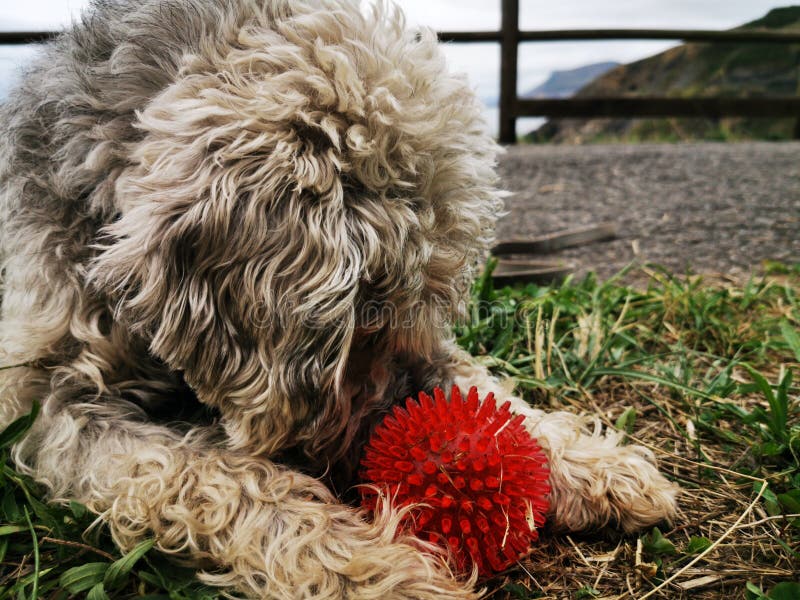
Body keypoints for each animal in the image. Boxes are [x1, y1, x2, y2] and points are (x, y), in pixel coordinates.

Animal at [0, 2, 680, 596]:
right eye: (366, 316)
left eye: (431, 303)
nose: (422, 416)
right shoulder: (56, 404)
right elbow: (209, 478)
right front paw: (372, 570)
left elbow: (487, 388)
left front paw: (590, 464)